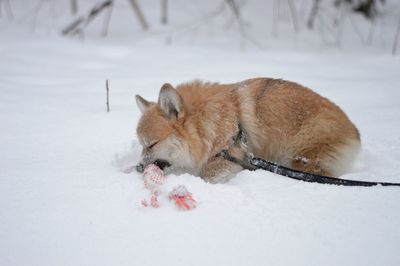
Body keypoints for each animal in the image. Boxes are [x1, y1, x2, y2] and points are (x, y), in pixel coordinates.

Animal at [136, 78, 360, 184]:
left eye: (151, 144)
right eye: (141, 146)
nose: (138, 168)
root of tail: (355, 134)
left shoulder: (228, 157)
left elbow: (207, 174)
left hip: (300, 160)